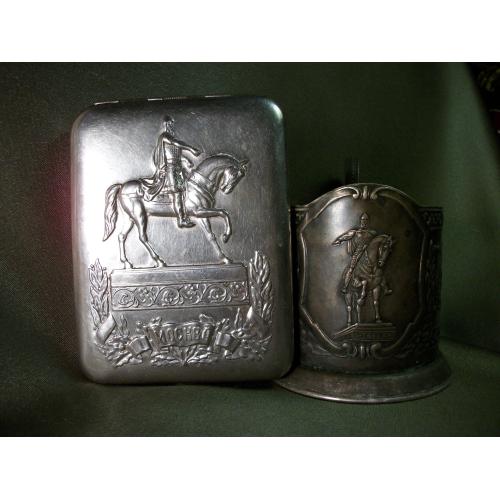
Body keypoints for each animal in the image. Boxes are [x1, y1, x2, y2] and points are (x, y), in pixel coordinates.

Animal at [102, 153, 247, 268]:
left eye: (240, 176)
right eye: (235, 174)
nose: (227, 190)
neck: (199, 184)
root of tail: (122, 186)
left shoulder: (202, 215)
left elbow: (211, 235)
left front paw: (225, 258)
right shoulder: (198, 211)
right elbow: (224, 212)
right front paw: (226, 236)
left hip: (130, 218)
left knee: (122, 236)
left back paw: (127, 263)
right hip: (139, 215)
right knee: (142, 237)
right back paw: (159, 261)